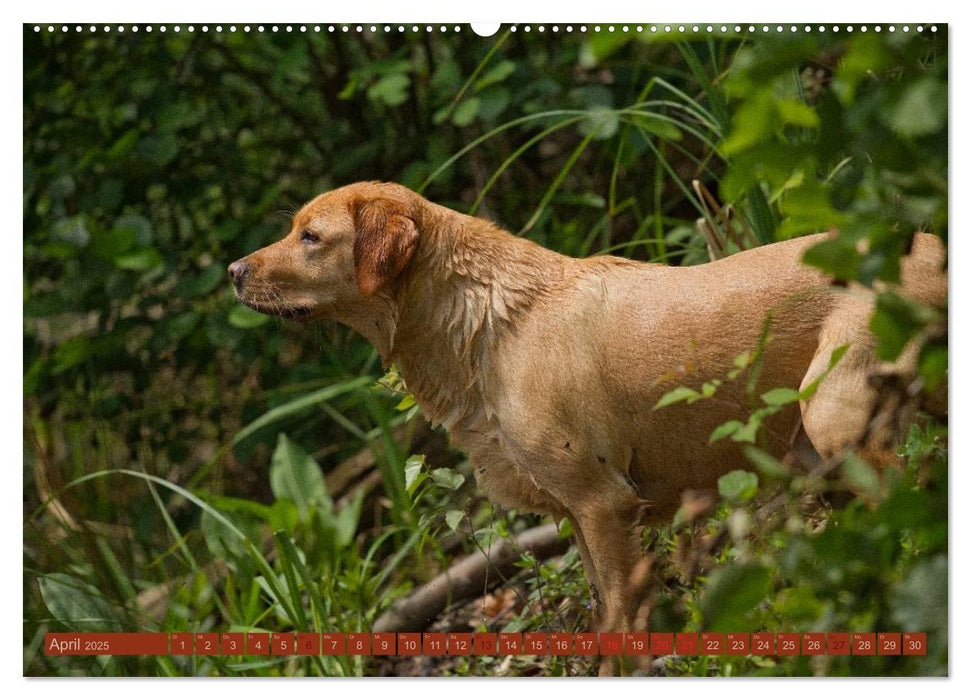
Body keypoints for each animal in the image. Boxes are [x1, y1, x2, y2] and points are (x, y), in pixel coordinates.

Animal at [230, 179, 948, 668]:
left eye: (310, 237)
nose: (233, 271)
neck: (483, 322)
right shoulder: (577, 511)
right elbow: (605, 613)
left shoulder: (603, 504)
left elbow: (622, 624)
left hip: (836, 421)